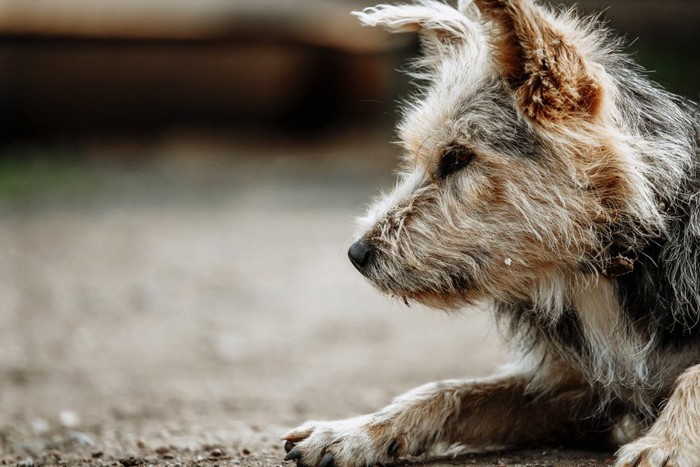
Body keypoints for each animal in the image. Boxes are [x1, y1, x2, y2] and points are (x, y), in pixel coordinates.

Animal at [280, 1, 700, 466]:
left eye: (457, 157)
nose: (357, 254)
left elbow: (693, 377)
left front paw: (666, 444)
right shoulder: (573, 389)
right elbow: (448, 391)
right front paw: (352, 432)